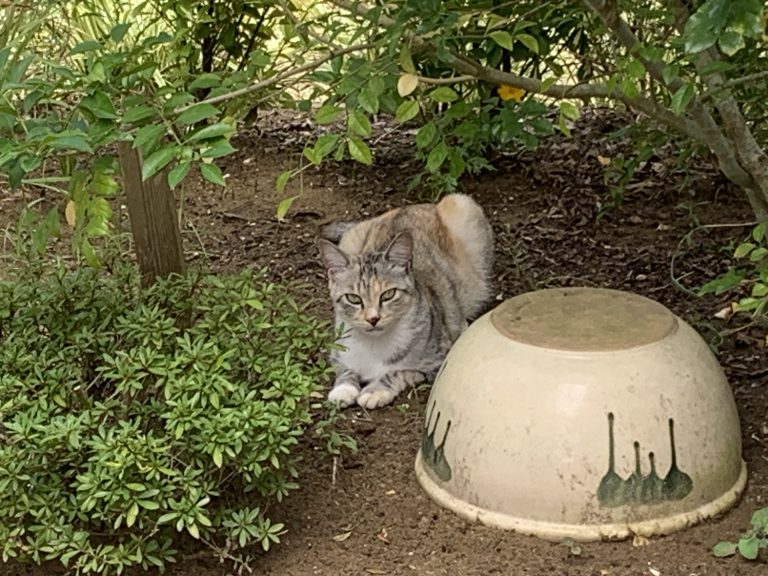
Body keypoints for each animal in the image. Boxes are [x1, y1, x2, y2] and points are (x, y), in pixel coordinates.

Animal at [316, 194, 492, 410]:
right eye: (353, 298)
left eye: (388, 294)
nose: (373, 318)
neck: (374, 343)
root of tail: (408, 206)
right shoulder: (338, 350)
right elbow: (345, 369)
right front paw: (343, 389)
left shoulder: (436, 360)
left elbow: (398, 371)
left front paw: (375, 390)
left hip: (462, 205)